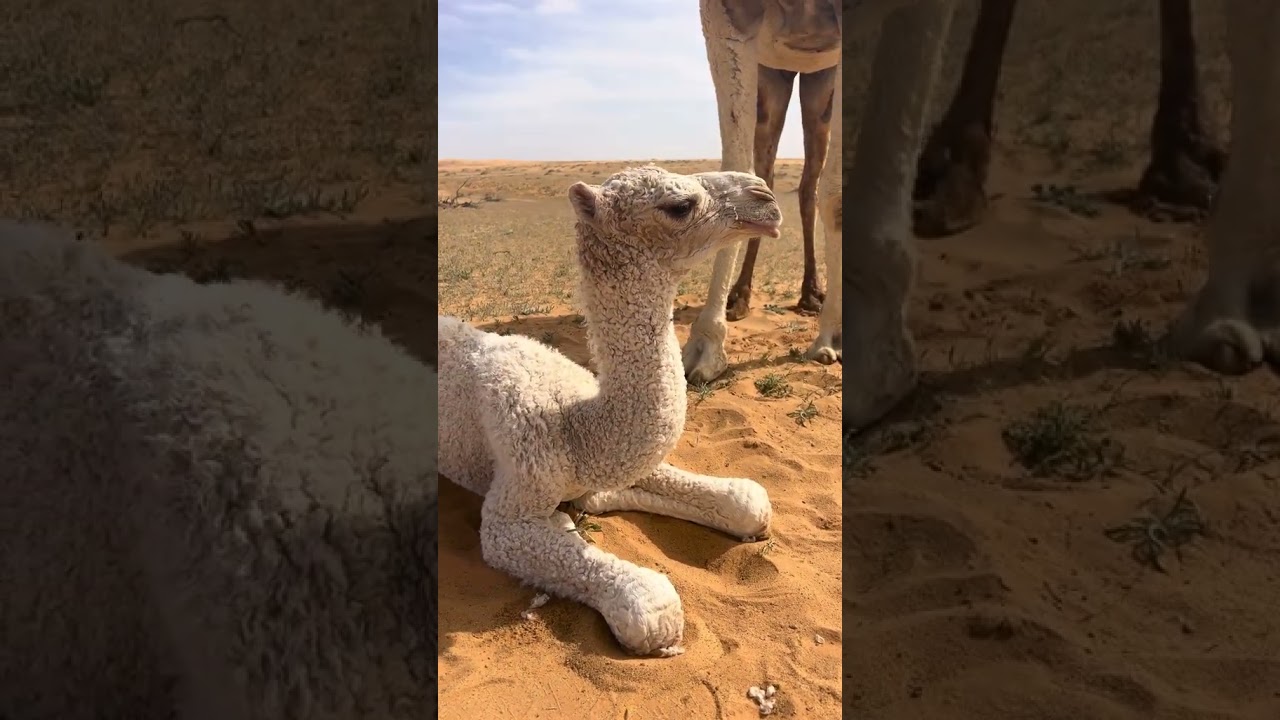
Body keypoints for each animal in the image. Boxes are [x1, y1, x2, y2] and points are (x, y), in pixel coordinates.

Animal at [437, 166, 777, 657]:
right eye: (680, 205)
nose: (765, 198)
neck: (574, 424)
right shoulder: (513, 498)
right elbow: (651, 609)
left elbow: (748, 501)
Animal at [685, 0, 844, 385]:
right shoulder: (722, 12)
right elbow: (737, 169)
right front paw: (705, 347)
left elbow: (835, 186)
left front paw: (831, 336)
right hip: (774, 75)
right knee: (777, 174)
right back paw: (741, 298)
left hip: (821, 78)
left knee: (811, 181)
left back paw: (813, 296)